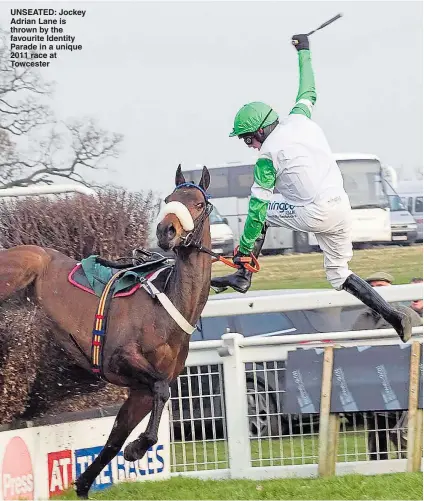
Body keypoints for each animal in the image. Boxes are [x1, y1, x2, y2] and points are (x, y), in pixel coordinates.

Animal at [0, 165, 212, 496]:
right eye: (169, 199)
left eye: (199, 204)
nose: (166, 231)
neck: (169, 303)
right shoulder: (120, 359)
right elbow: (161, 389)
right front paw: (137, 447)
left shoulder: (139, 391)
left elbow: (114, 442)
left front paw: (92, 478)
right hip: (18, 271)